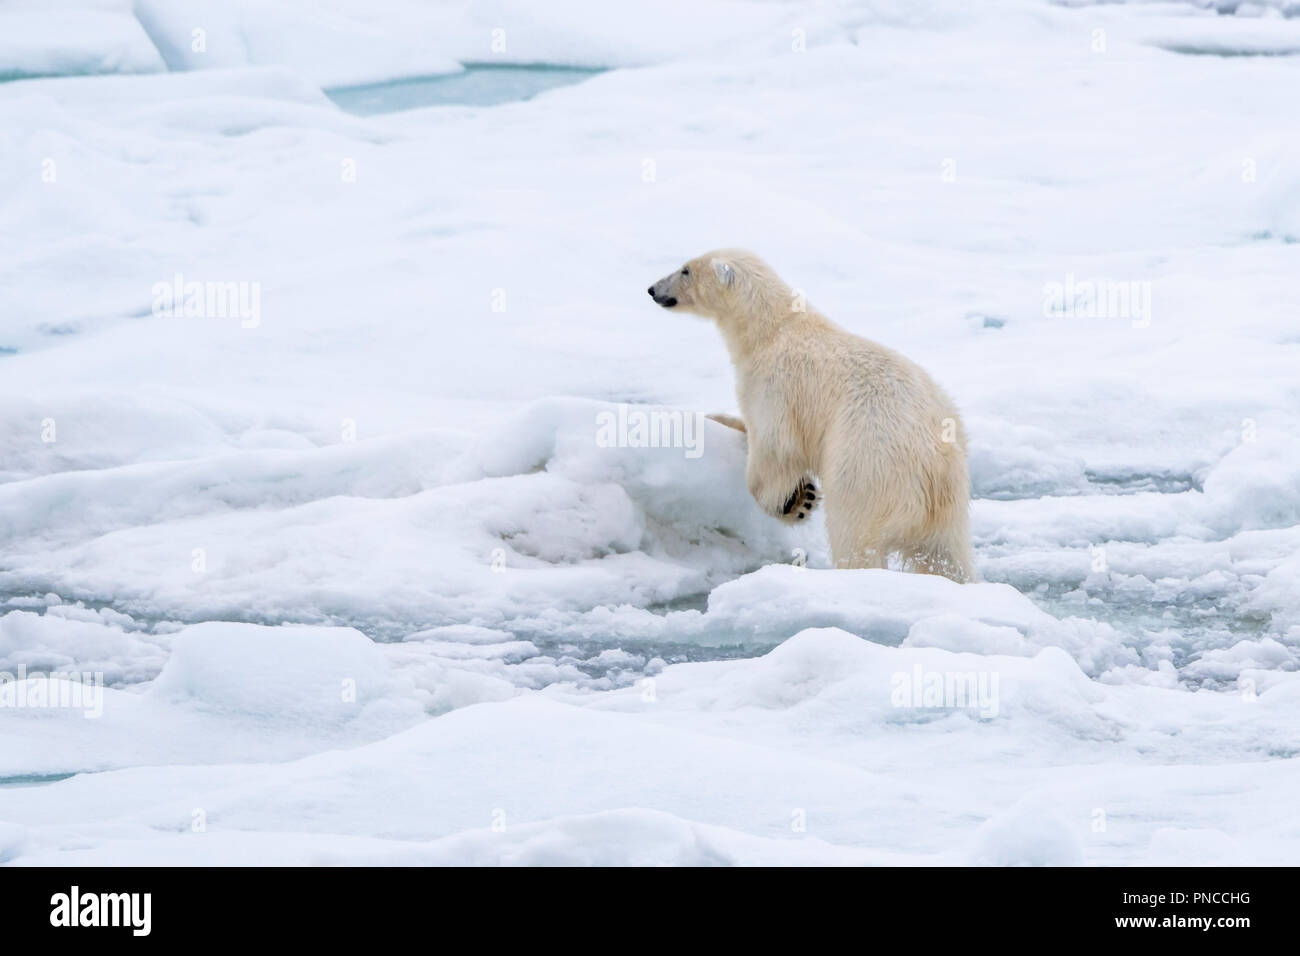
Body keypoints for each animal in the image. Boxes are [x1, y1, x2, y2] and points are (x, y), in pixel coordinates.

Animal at [644, 251, 972, 580]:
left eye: (685, 270)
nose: (652, 289)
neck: (771, 329)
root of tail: (935, 462)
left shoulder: (774, 385)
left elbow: (775, 448)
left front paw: (797, 502)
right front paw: (718, 419)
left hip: (868, 469)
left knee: (854, 535)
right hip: (949, 504)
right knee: (947, 558)